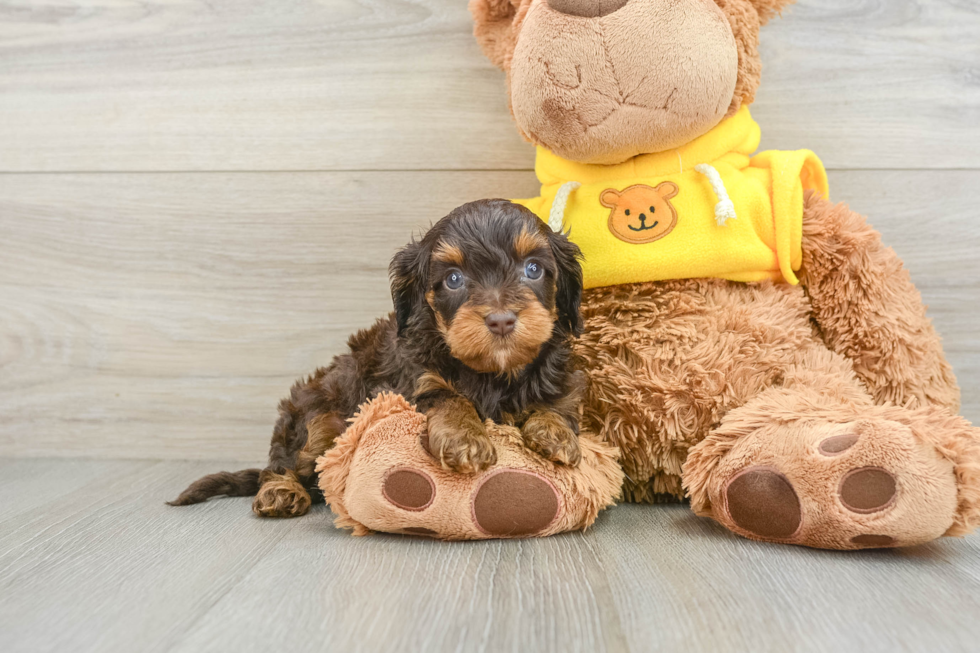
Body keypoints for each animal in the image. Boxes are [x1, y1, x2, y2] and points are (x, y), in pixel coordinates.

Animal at [170, 197, 580, 516]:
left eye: (533, 269)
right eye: (453, 279)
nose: (501, 320)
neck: (492, 371)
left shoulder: (559, 374)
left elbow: (557, 401)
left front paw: (555, 433)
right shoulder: (415, 380)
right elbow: (448, 397)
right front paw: (466, 437)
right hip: (318, 419)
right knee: (286, 464)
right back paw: (280, 491)